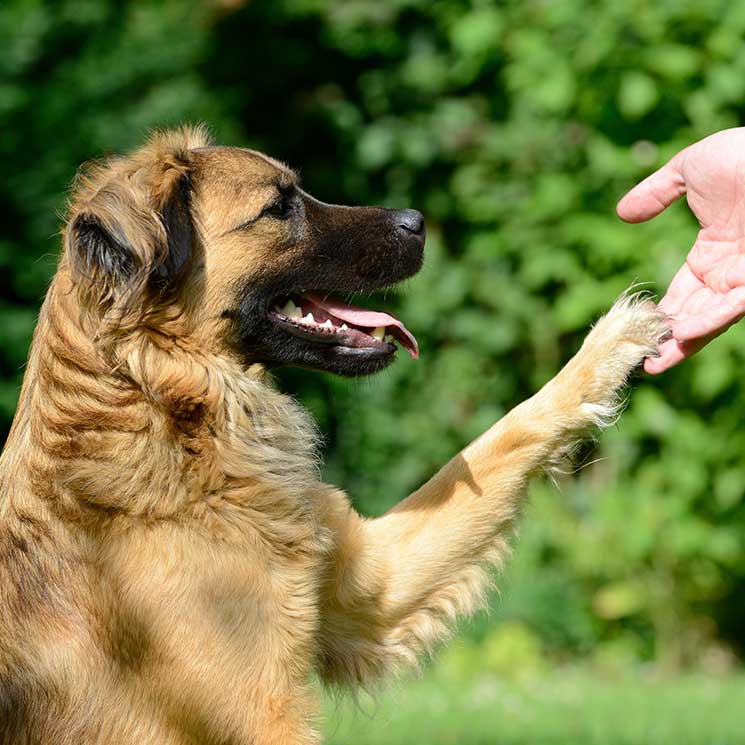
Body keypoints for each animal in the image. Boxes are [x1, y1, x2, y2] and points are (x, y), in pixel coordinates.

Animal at [0, 125, 668, 740]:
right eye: (279, 207)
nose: (417, 221)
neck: (161, 407)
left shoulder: (370, 586)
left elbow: (502, 436)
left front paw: (612, 343)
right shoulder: (260, 714)